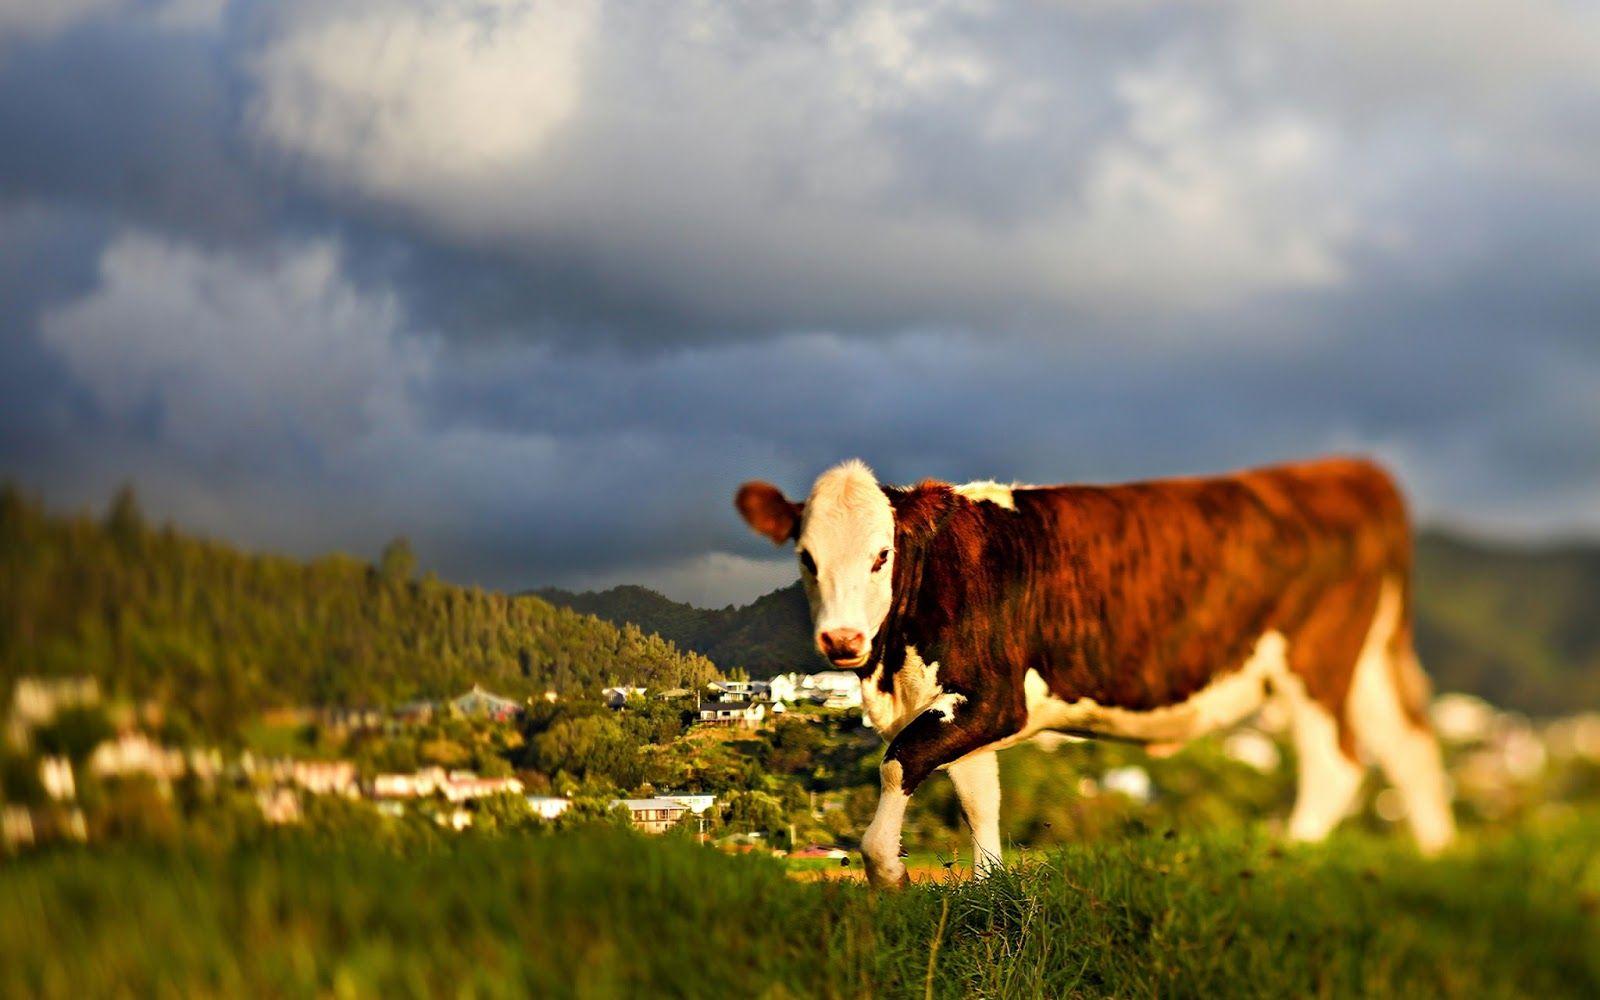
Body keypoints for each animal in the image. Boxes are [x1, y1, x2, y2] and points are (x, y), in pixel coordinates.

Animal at [735, 457, 1455, 888]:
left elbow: (899, 762)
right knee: (1411, 749)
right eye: (805, 558)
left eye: (882, 554)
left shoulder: (995, 698)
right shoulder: (950, 703)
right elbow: (979, 798)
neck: (892, 667)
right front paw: (989, 896)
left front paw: (888, 874)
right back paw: (1437, 860)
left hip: (1317, 661)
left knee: (1339, 764)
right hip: (1369, 659)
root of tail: (1342, 468)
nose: (842, 639)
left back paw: (1287, 862)